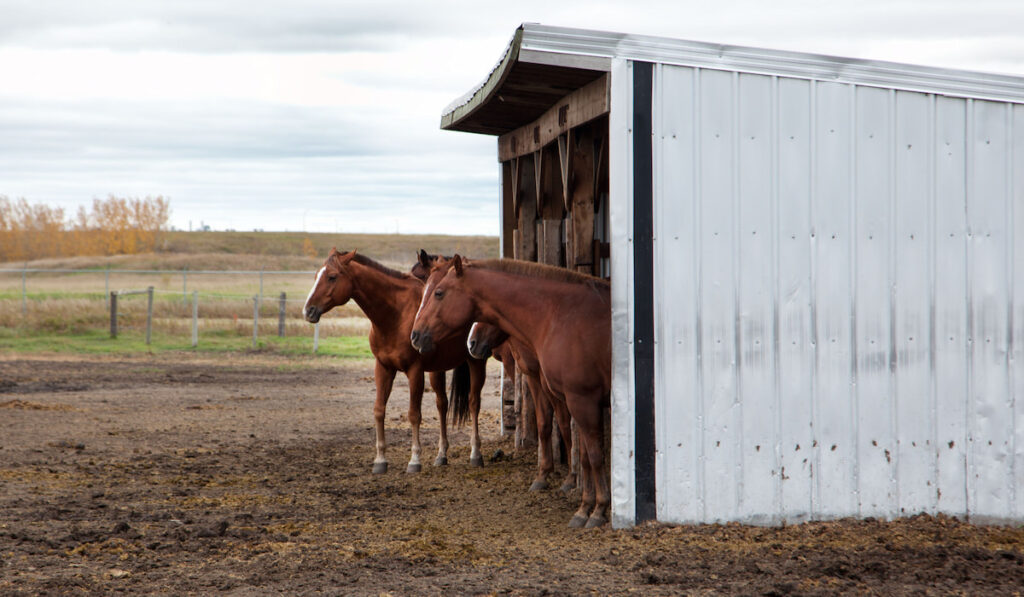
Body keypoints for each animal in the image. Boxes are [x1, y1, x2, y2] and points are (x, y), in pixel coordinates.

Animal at [303, 249, 487, 475]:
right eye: (316, 276)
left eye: (332, 277)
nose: (308, 310)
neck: (396, 315)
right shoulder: (383, 368)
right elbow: (379, 410)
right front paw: (380, 460)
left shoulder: (414, 371)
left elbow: (414, 414)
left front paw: (414, 460)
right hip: (437, 371)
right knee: (442, 404)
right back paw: (441, 455)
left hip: (476, 362)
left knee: (473, 403)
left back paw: (476, 454)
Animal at [411, 257, 610, 528]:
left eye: (439, 293)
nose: (415, 335)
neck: (559, 316)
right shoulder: (570, 397)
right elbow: (580, 450)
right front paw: (582, 502)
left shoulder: (581, 399)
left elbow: (592, 453)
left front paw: (595, 509)